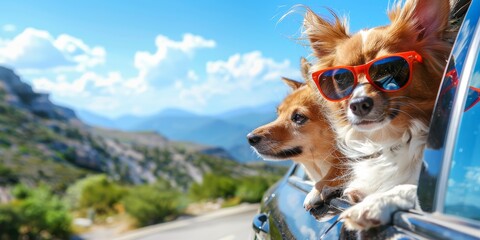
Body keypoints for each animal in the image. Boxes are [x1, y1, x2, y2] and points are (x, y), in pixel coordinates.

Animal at [304, 0, 454, 231]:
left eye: (389, 69)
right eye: (341, 78)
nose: (358, 104)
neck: (394, 137)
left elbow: (407, 188)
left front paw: (374, 203)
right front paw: (321, 188)